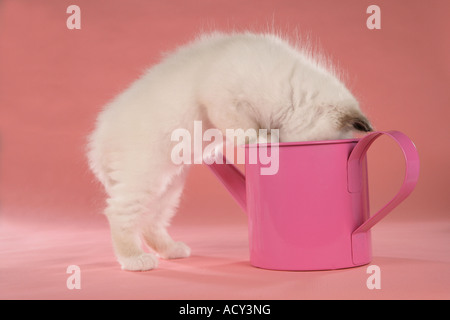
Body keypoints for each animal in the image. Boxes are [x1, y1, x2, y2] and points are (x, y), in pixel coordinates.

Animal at [88, 31, 372, 272]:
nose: (282, 143)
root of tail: (99, 137)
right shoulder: (222, 100)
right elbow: (244, 127)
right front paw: (262, 138)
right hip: (145, 177)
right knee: (119, 214)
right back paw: (135, 260)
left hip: (169, 185)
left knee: (150, 222)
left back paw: (171, 251)